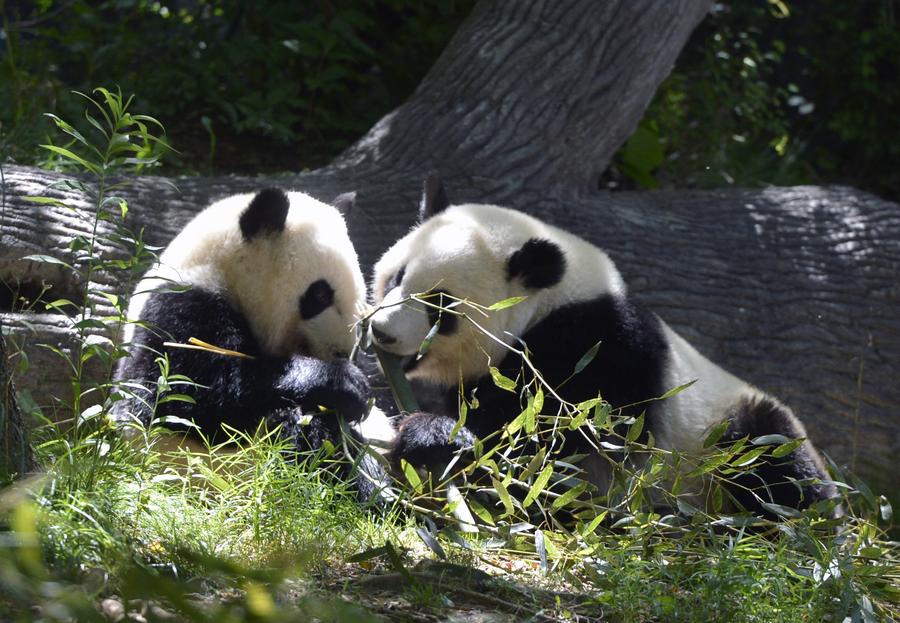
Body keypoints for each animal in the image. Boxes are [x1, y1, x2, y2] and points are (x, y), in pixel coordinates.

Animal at [366, 178, 836, 520]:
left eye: (440, 305)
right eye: (397, 278)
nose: (381, 333)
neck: (551, 302)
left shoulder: (599, 354)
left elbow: (549, 451)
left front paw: (434, 438)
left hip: (725, 437)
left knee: (775, 462)